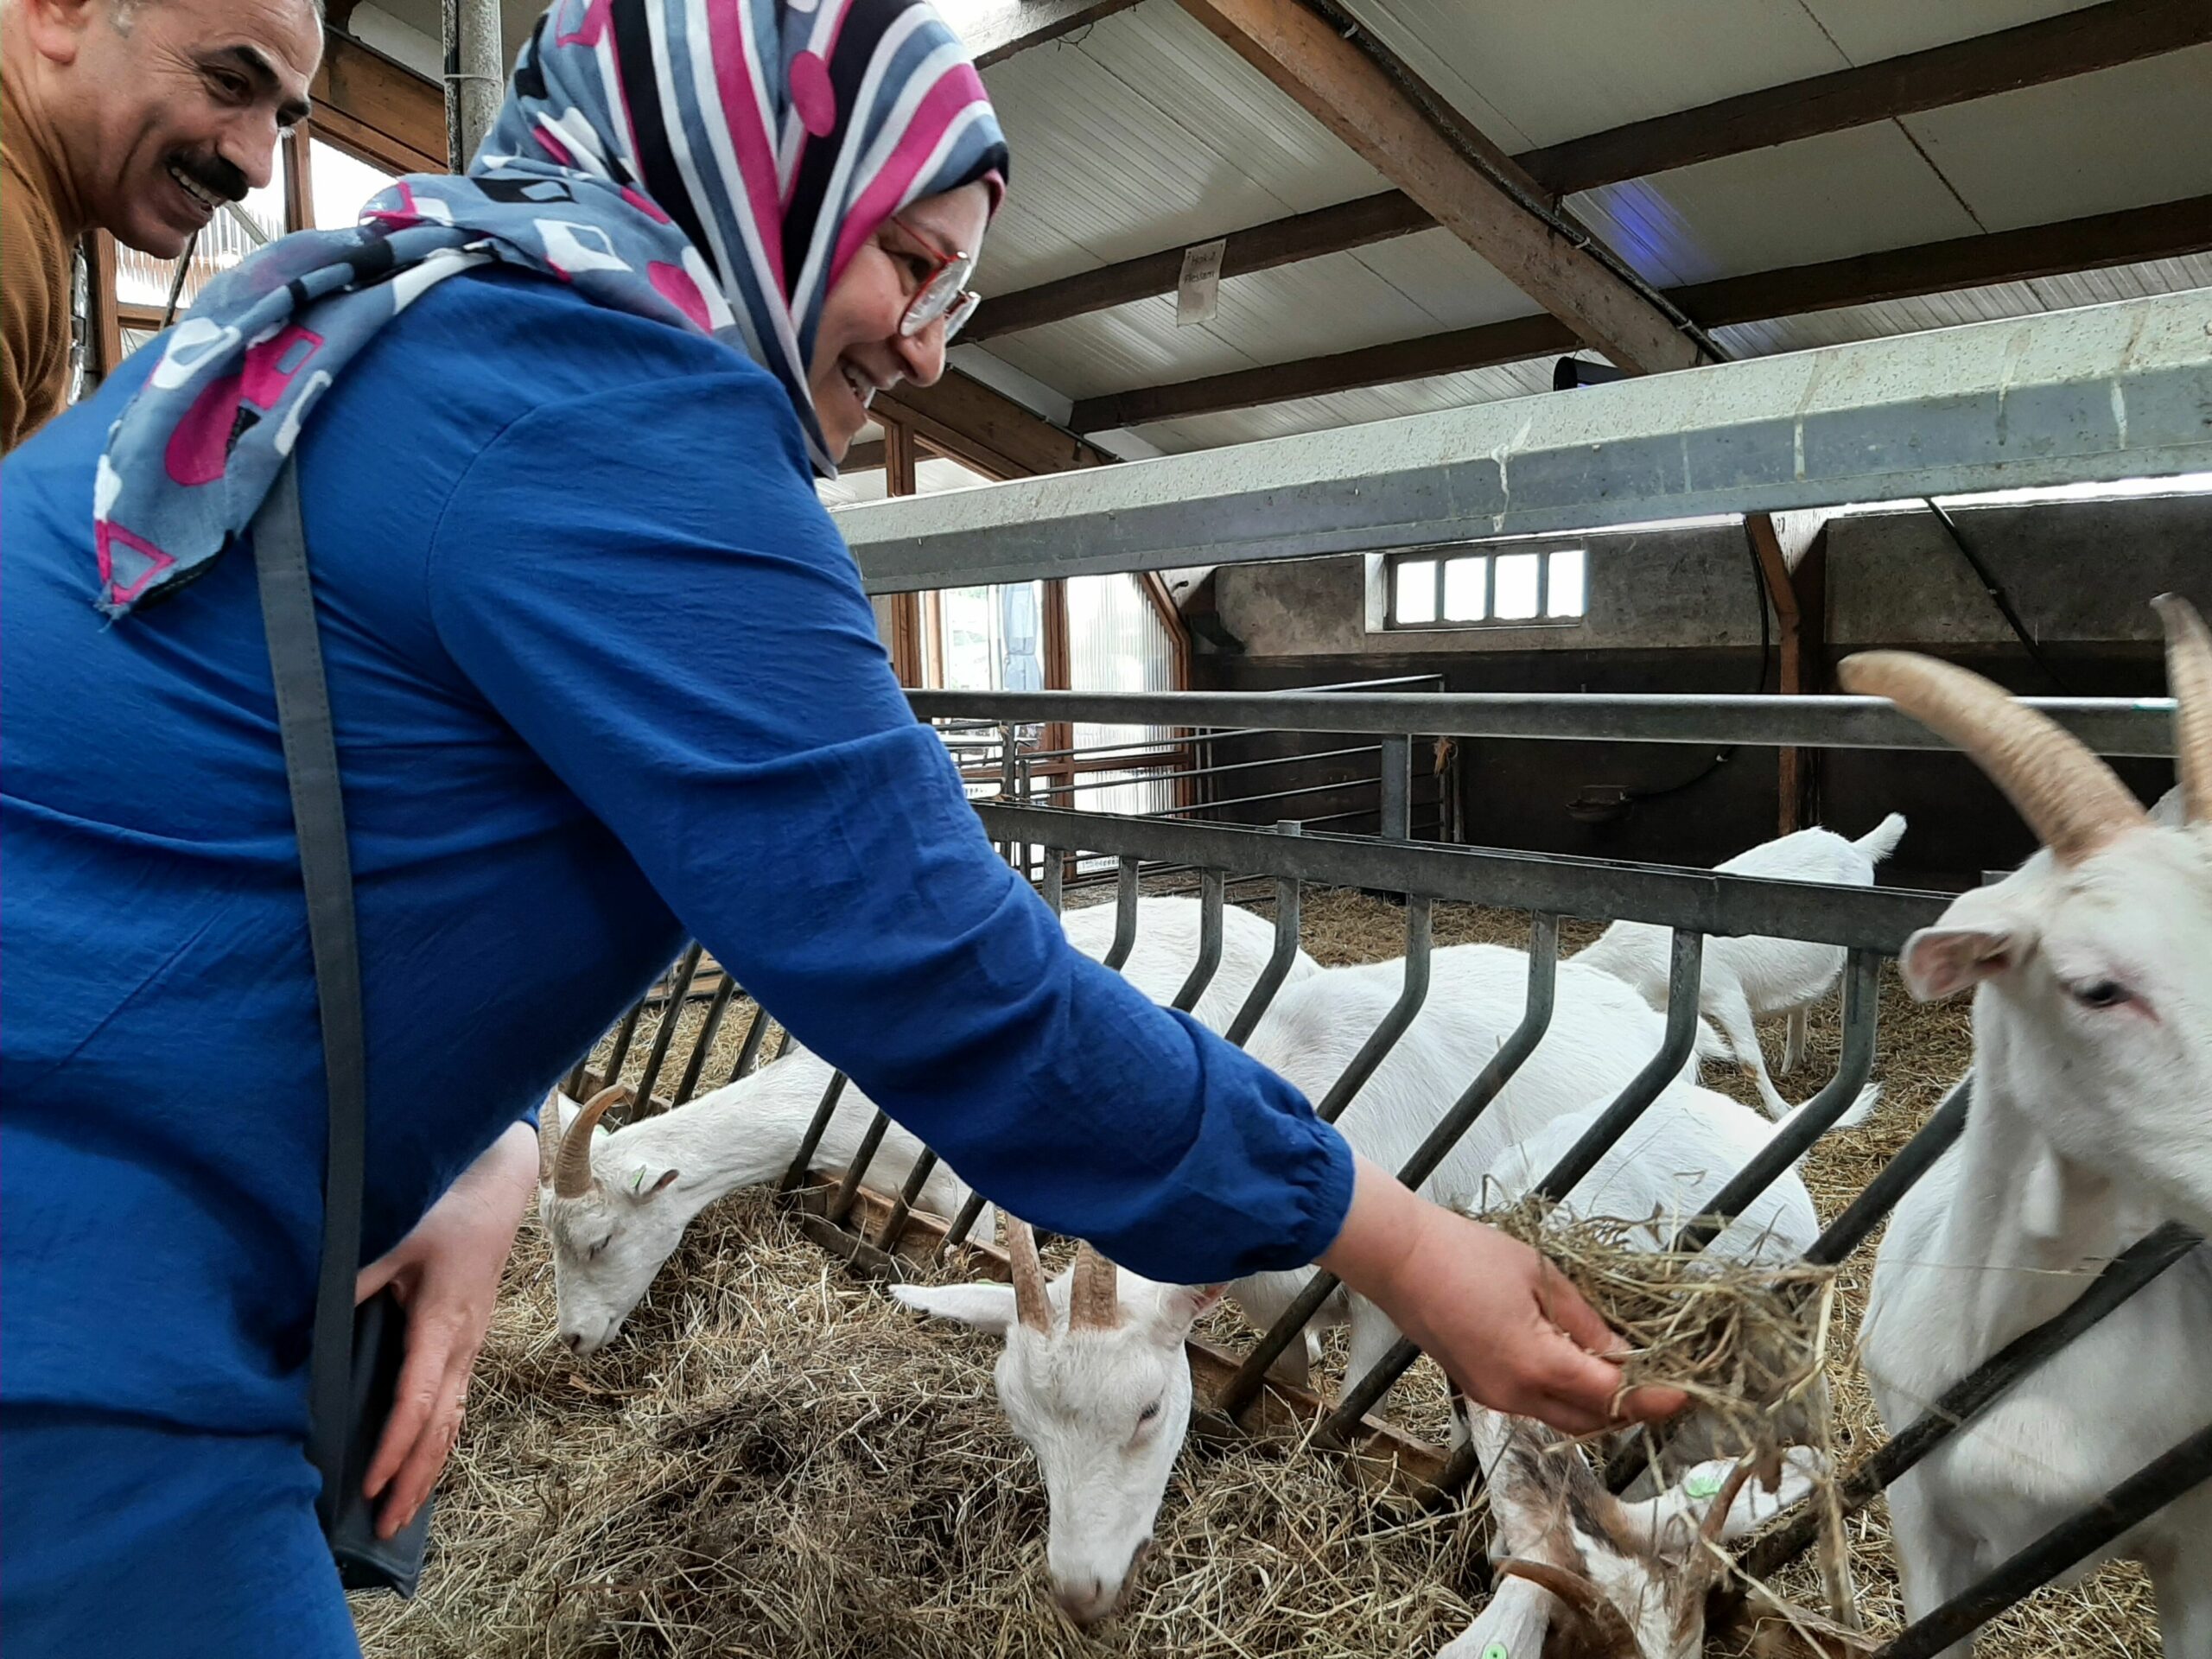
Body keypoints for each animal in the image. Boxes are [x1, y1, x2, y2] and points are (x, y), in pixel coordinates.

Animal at [893, 942, 1689, 1628]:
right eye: (1023, 1425)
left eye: (1149, 1411)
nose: (1080, 1590)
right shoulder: (1274, 1309)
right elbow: (1290, 1387)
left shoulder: (1383, 1315)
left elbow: (1355, 1406)